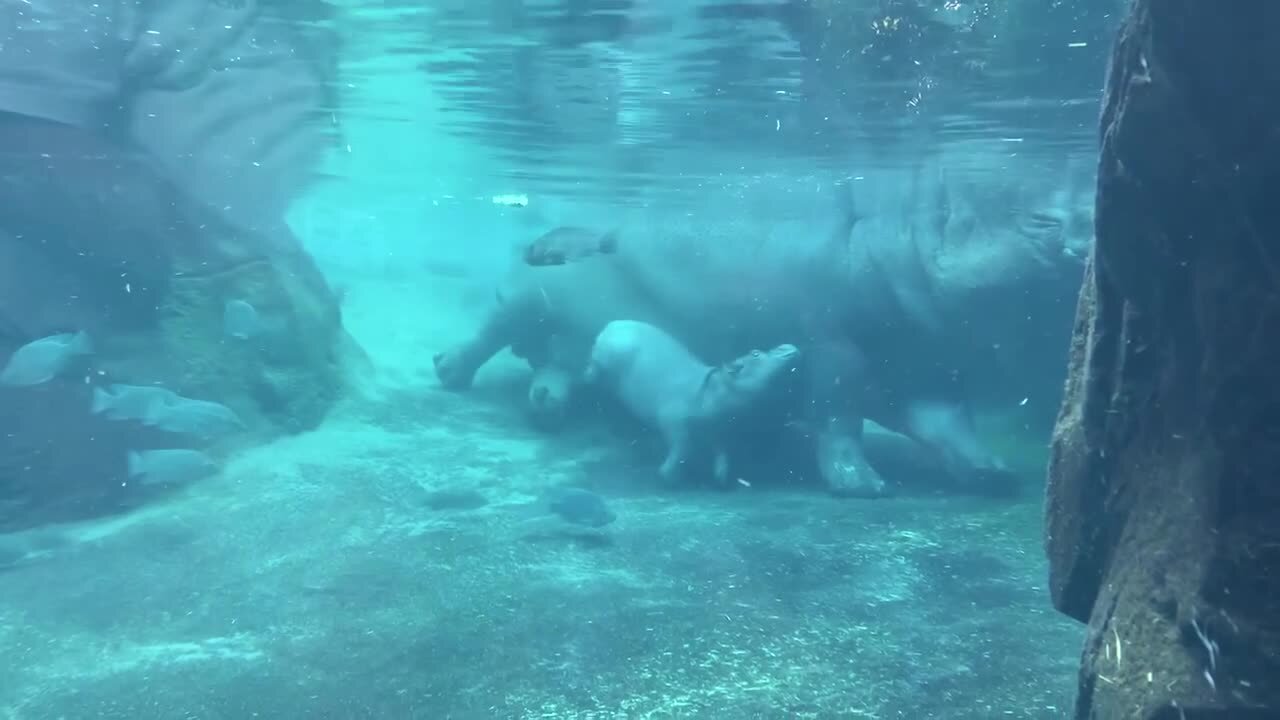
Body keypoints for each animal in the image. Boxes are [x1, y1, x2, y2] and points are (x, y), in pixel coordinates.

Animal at [583, 317, 798, 481]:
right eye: (755, 353)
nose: (787, 345)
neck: (716, 387)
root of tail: (613, 323)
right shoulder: (672, 419)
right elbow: (683, 446)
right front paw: (667, 475)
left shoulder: (719, 429)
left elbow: (722, 450)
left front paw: (721, 477)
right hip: (604, 357)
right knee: (594, 366)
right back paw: (587, 378)